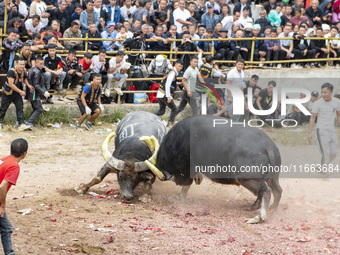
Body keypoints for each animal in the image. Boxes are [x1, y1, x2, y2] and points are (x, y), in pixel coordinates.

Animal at [145, 115, 282, 223]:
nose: (176, 182)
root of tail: (268, 145)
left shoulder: (188, 167)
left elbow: (187, 183)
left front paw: (179, 197)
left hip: (247, 179)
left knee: (266, 191)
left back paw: (259, 217)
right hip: (272, 177)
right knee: (277, 190)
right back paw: (268, 207)